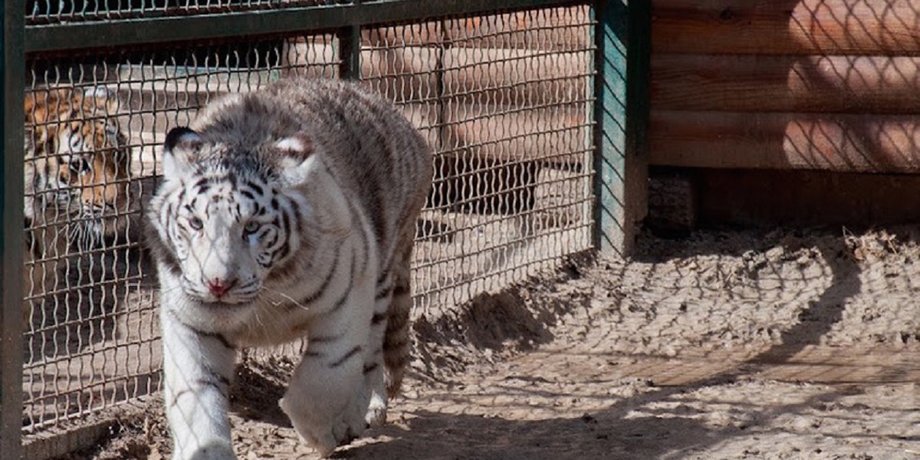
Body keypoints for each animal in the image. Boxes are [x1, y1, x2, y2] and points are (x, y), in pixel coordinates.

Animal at [145, 78, 433, 459]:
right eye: (195, 223)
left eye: (252, 227)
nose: (218, 284)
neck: (265, 296)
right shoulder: (190, 320)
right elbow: (196, 397)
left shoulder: (349, 292)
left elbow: (323, 378)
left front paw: (324, 434)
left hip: (383, 275)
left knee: (371, 355)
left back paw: (366, 409)